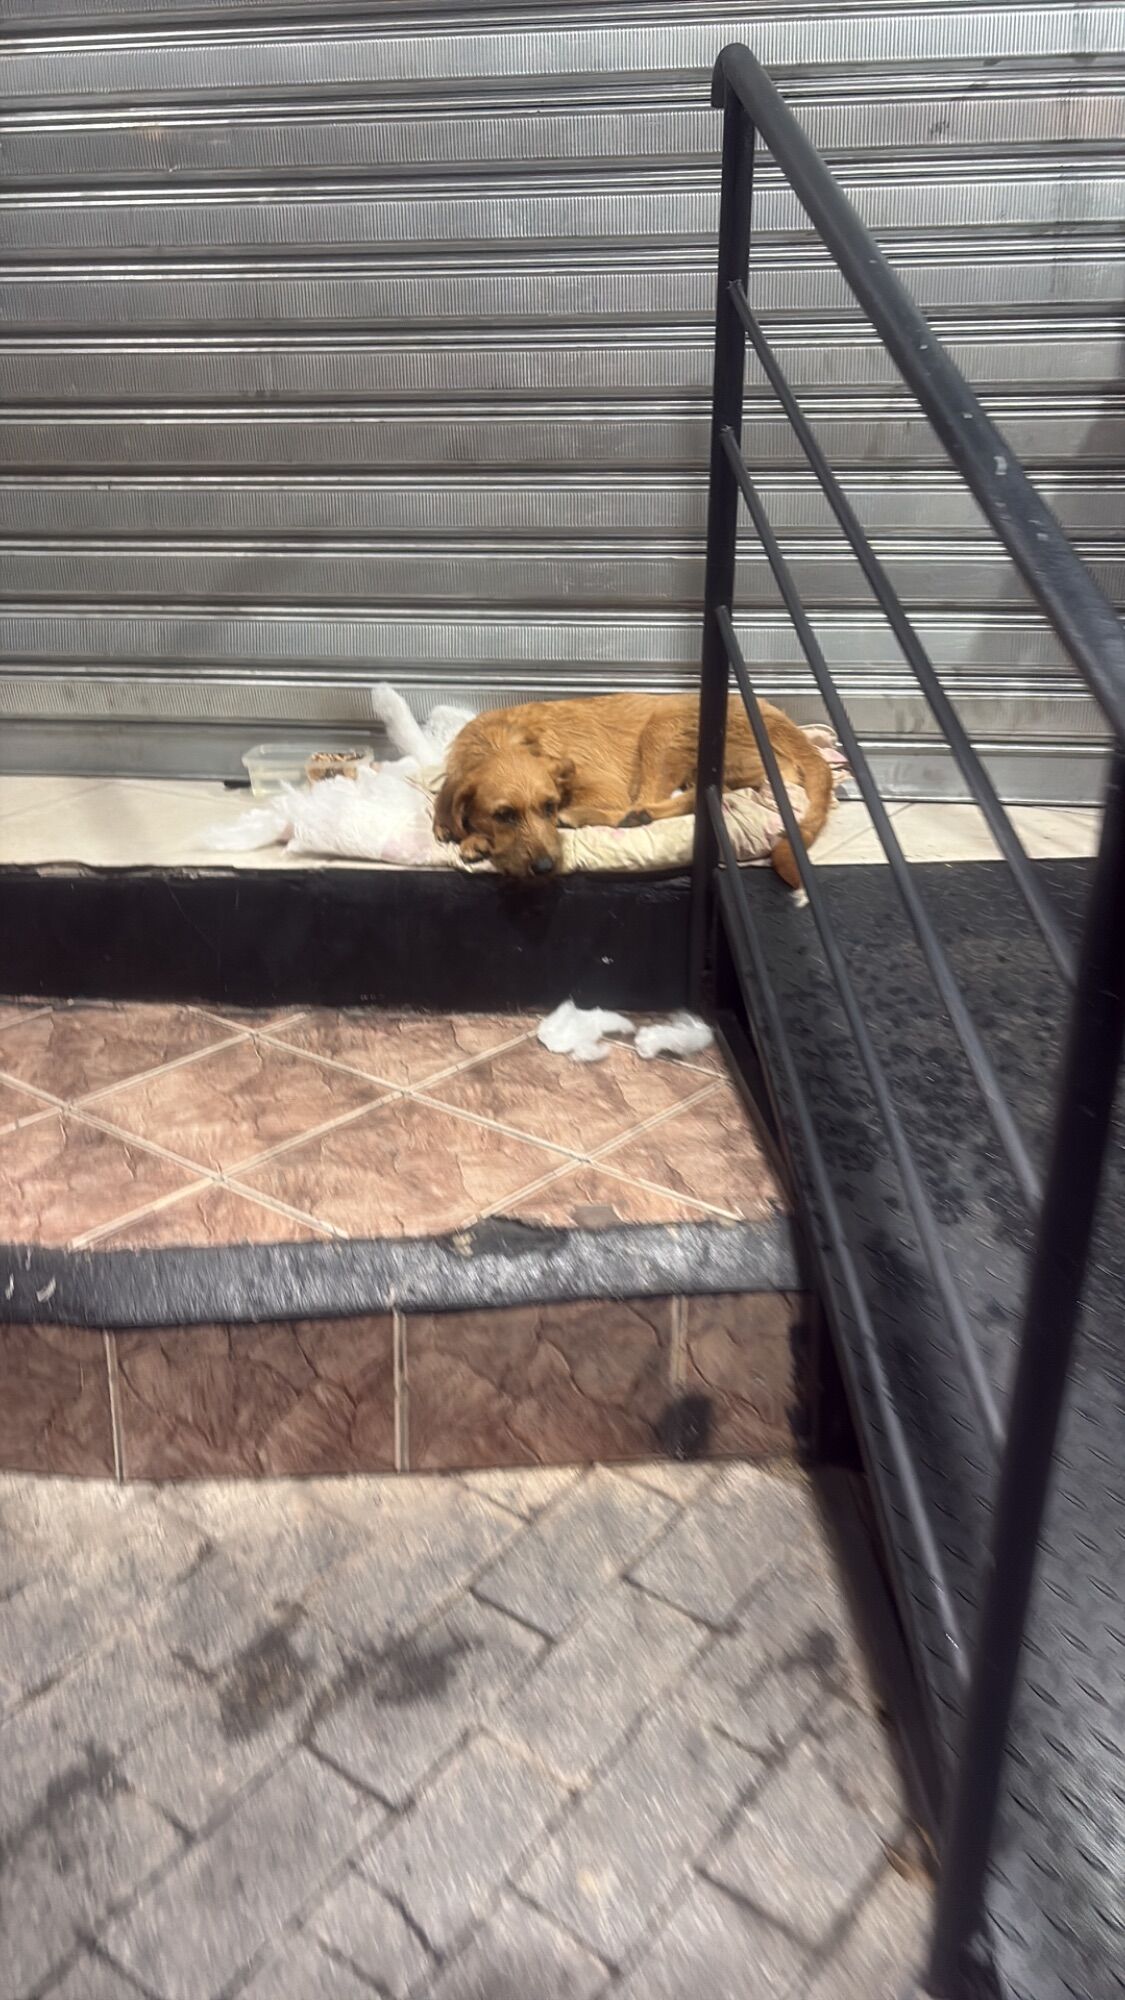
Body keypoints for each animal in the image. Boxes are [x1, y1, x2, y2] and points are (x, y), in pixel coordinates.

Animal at [433, 692, 833, 885]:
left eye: (548, 806)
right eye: (502, 815)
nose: (547, 867)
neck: (501, 740)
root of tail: (783, 724)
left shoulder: (604, 789)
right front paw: (469, 835)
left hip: (663, 726)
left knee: (659, 799)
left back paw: (617, 815)